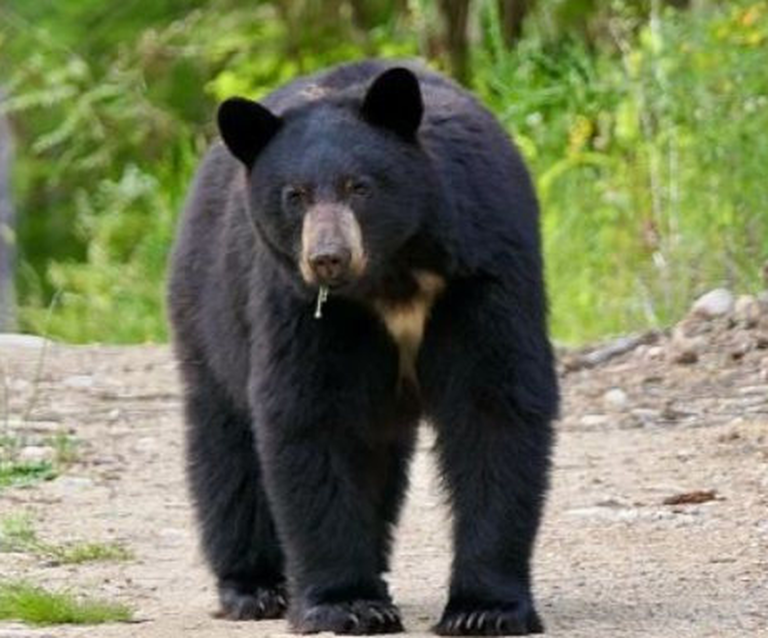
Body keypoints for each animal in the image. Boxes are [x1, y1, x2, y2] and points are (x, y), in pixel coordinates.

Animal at [168, 59, 558, 636]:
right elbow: (312, 415)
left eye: (360, 187)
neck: (393, 275)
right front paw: (346, 603)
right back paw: (255, 586)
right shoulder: (303, 306)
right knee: (226, 445)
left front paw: (484, 608)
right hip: (210, 308)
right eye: (295, 194)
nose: (328, 257)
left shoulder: (482, 271)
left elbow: (494, 406)